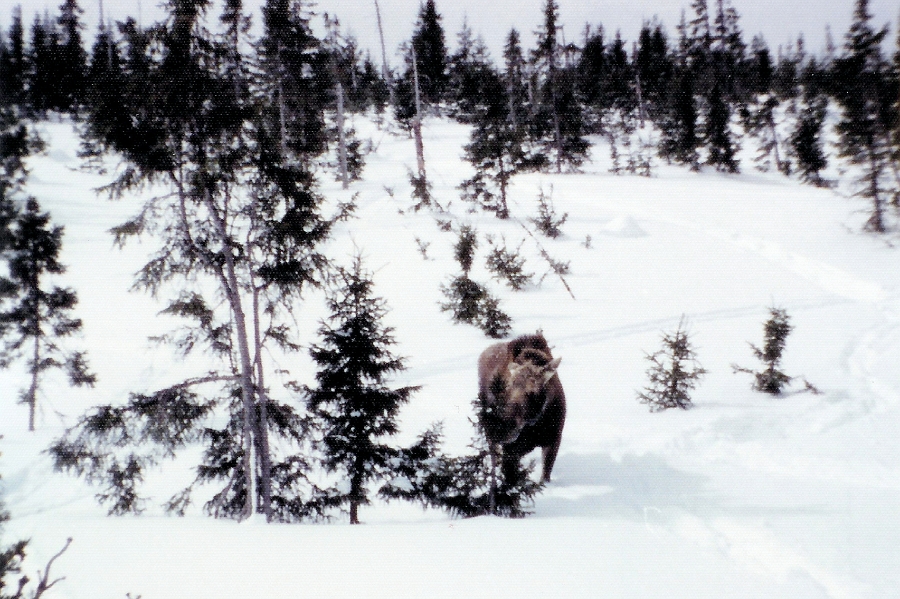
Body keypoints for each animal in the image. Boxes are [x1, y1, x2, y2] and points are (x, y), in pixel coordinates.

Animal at [478, 336, 564, 486]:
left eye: (533, 391)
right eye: (506, 387)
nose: (502, 429)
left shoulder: (553, 439)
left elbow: (545, 476)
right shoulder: (511, 450)